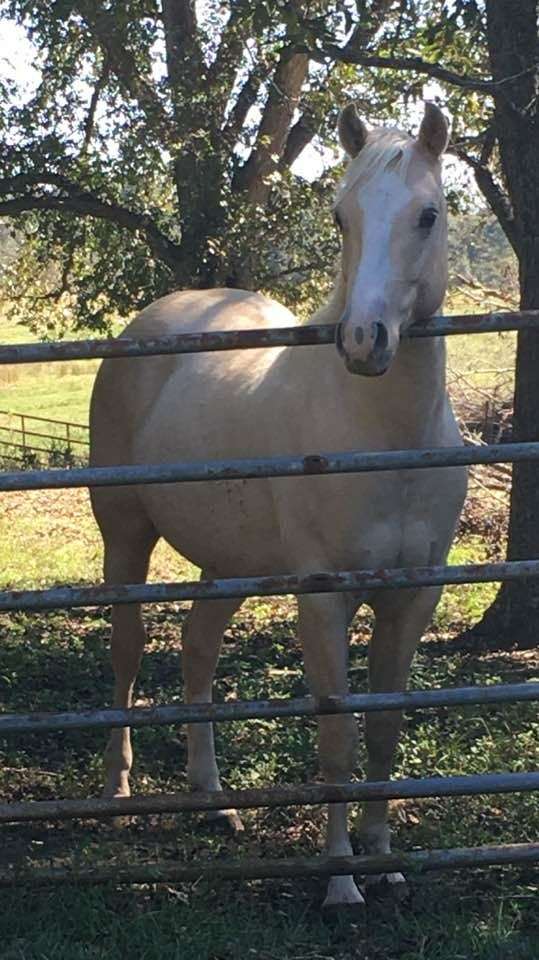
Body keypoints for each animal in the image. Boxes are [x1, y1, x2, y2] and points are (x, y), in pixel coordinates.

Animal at [89, 101, 467, 910]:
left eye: (428, 214)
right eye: (340, 216)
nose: (363, 342)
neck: (381, 439)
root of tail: (153, 321)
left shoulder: (411, 596)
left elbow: (384, 732)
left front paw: (384, 861)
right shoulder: (322, 600)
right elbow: (338, 738)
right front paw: (339, 882)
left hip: (229, 565)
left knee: (196, 649)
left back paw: (214, 800)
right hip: (126, 536)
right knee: (127, 653)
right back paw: (116, 791)